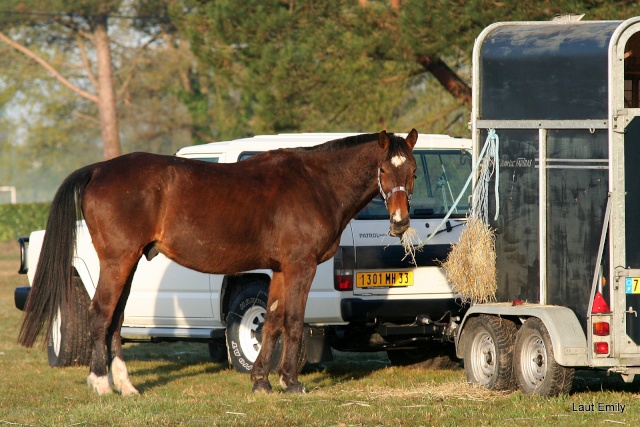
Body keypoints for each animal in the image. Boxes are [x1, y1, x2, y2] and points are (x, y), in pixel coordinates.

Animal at [17, 130, 418, 394]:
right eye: (384, 171)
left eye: (413, 171)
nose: (400, 223)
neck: (315, 183)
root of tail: (99, 169)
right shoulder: (300, 266)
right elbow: (292, 321)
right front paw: (290, 382)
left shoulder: (279, 269)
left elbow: (271, 321)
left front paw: (261, 382)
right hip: (117, 262)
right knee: (99, 315)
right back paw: (101, 384)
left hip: (126, 266)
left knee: (115, 320)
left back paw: (127, 386)